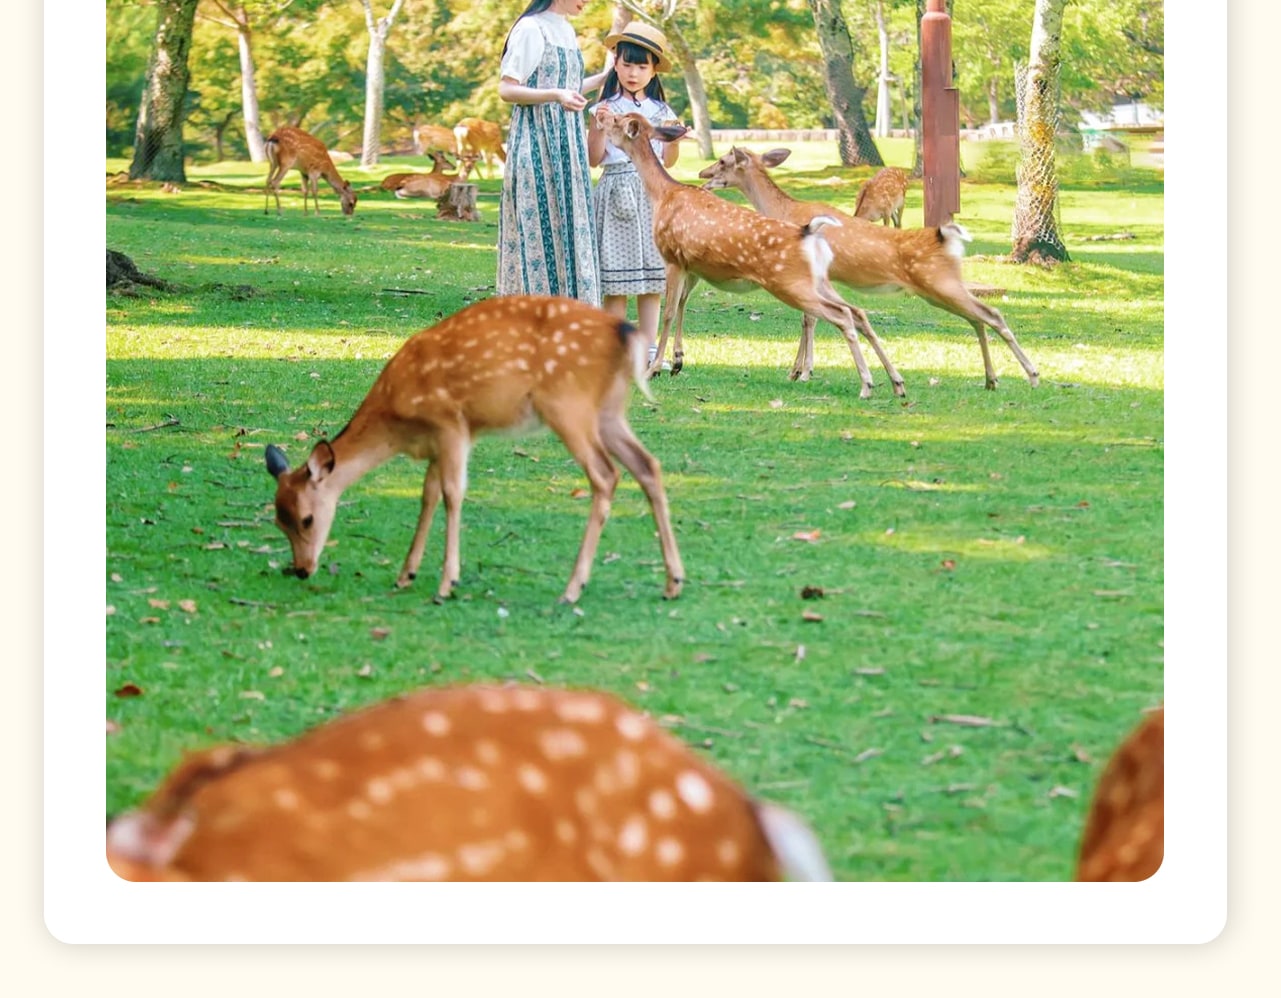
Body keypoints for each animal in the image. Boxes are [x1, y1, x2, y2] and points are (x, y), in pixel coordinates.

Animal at [262, 295, 685, 604]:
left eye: (306, 519)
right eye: (278, 521)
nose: (301, 569)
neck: (397, 420)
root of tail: (626, 333)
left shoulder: (451, 423)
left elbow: (453, 494)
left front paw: (447, 582)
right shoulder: (435, 443)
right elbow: (428, 495)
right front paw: (405, 574)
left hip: (568, 404)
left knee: (606, 475)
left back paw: (571, 589)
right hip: (608, 411)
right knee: (648, 465)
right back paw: (673, 582)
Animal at [596, 111, 904, 399]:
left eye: (616, 120)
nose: (599, 115)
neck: (663, 194)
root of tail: (810, 232)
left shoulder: (672, 256)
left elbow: (669, 312)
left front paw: (655, 369)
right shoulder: (692, 264)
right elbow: (681, 305)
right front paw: (676, 362)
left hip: (790, 283)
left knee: (839, 316)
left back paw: (866, 384)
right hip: (818, 281)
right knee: (855, 311)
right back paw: (896, 383)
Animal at [699, 147, 1039, 390]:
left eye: (723, 160)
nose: (704, 173)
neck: (785, 211)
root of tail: (950, 240)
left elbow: (809, 320)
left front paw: (802, 371)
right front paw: (800, 369)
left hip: (940, 284)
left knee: (991, 314)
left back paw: (1032, 374)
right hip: (942, 289)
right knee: (978, 317)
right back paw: (991, 379)